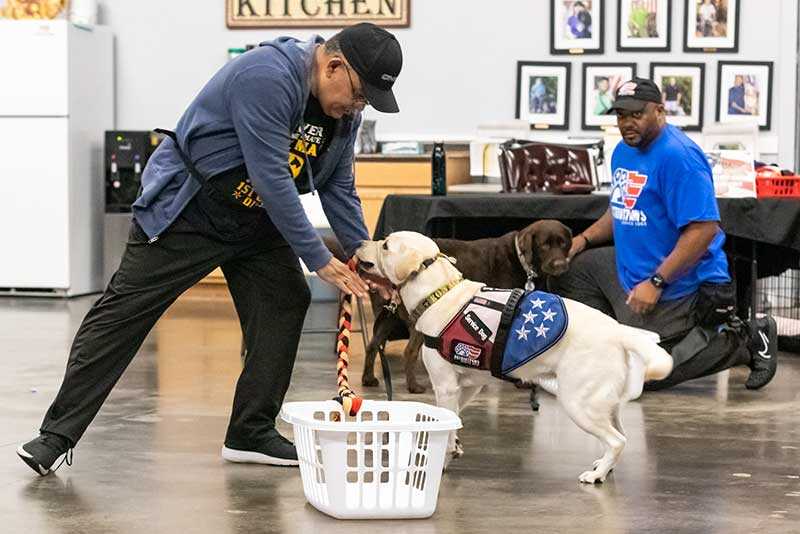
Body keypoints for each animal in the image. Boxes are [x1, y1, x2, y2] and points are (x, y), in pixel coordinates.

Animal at [354, 232, 672, 484]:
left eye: (385, 245)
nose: (360, 243)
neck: (439, 293)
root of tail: (618, 331)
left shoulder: (445, 386)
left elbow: (447, 425)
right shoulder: (468, 386)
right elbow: (454, 420)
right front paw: (453, 450)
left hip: (579, 403)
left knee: (617, 441)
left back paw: (596, 475)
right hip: (605, 403)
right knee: (620, 436)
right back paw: (604, 467)